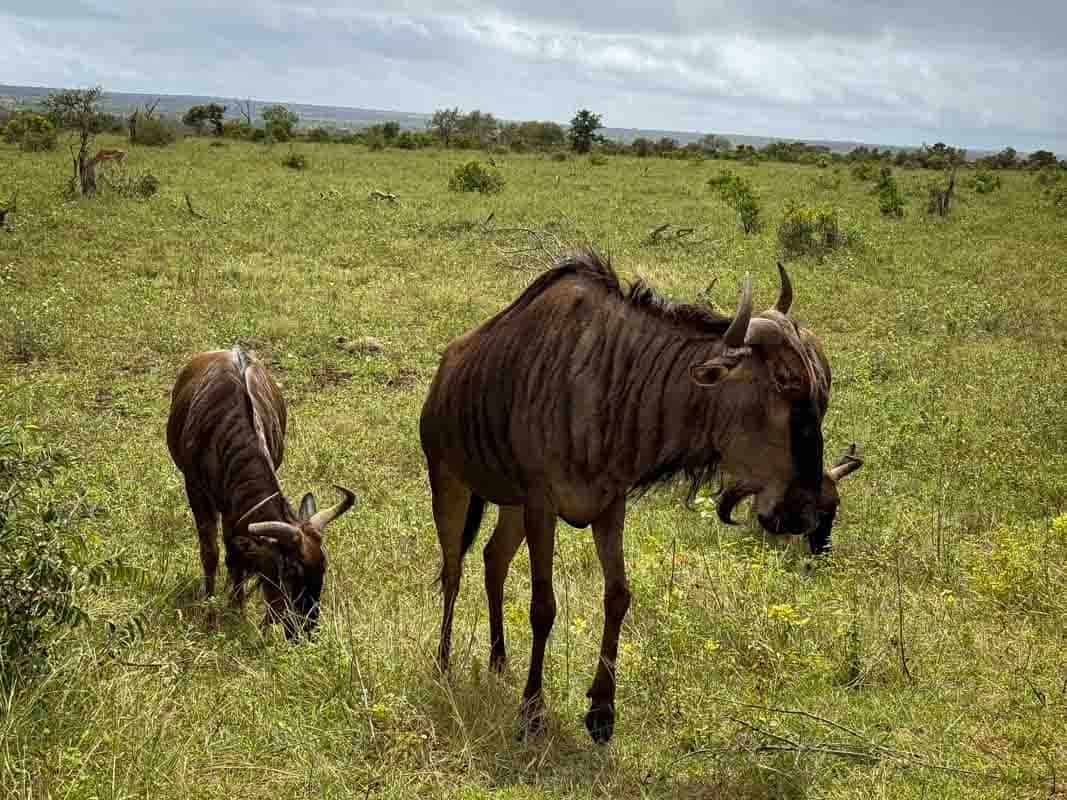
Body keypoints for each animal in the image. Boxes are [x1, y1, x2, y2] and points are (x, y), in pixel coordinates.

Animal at [167, 347, 358, 644]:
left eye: (323, 567)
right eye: (291, 571)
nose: (306, 631)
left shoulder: (236, 511)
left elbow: (236, 556)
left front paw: (240, 609)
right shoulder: (197, 493)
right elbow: (211, 553)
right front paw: (213, 610)